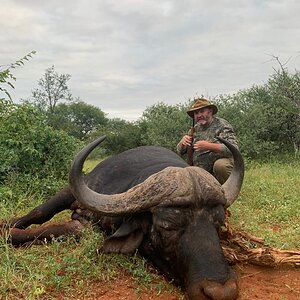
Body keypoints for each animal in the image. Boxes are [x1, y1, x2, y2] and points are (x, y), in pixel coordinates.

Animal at [5, 137, 244, 300]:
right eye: (168, 226)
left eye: (218, 224)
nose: (221, 292)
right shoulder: (72, 193)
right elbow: (40, 213)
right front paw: (7, 226)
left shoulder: (82, 227)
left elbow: (52, 230)